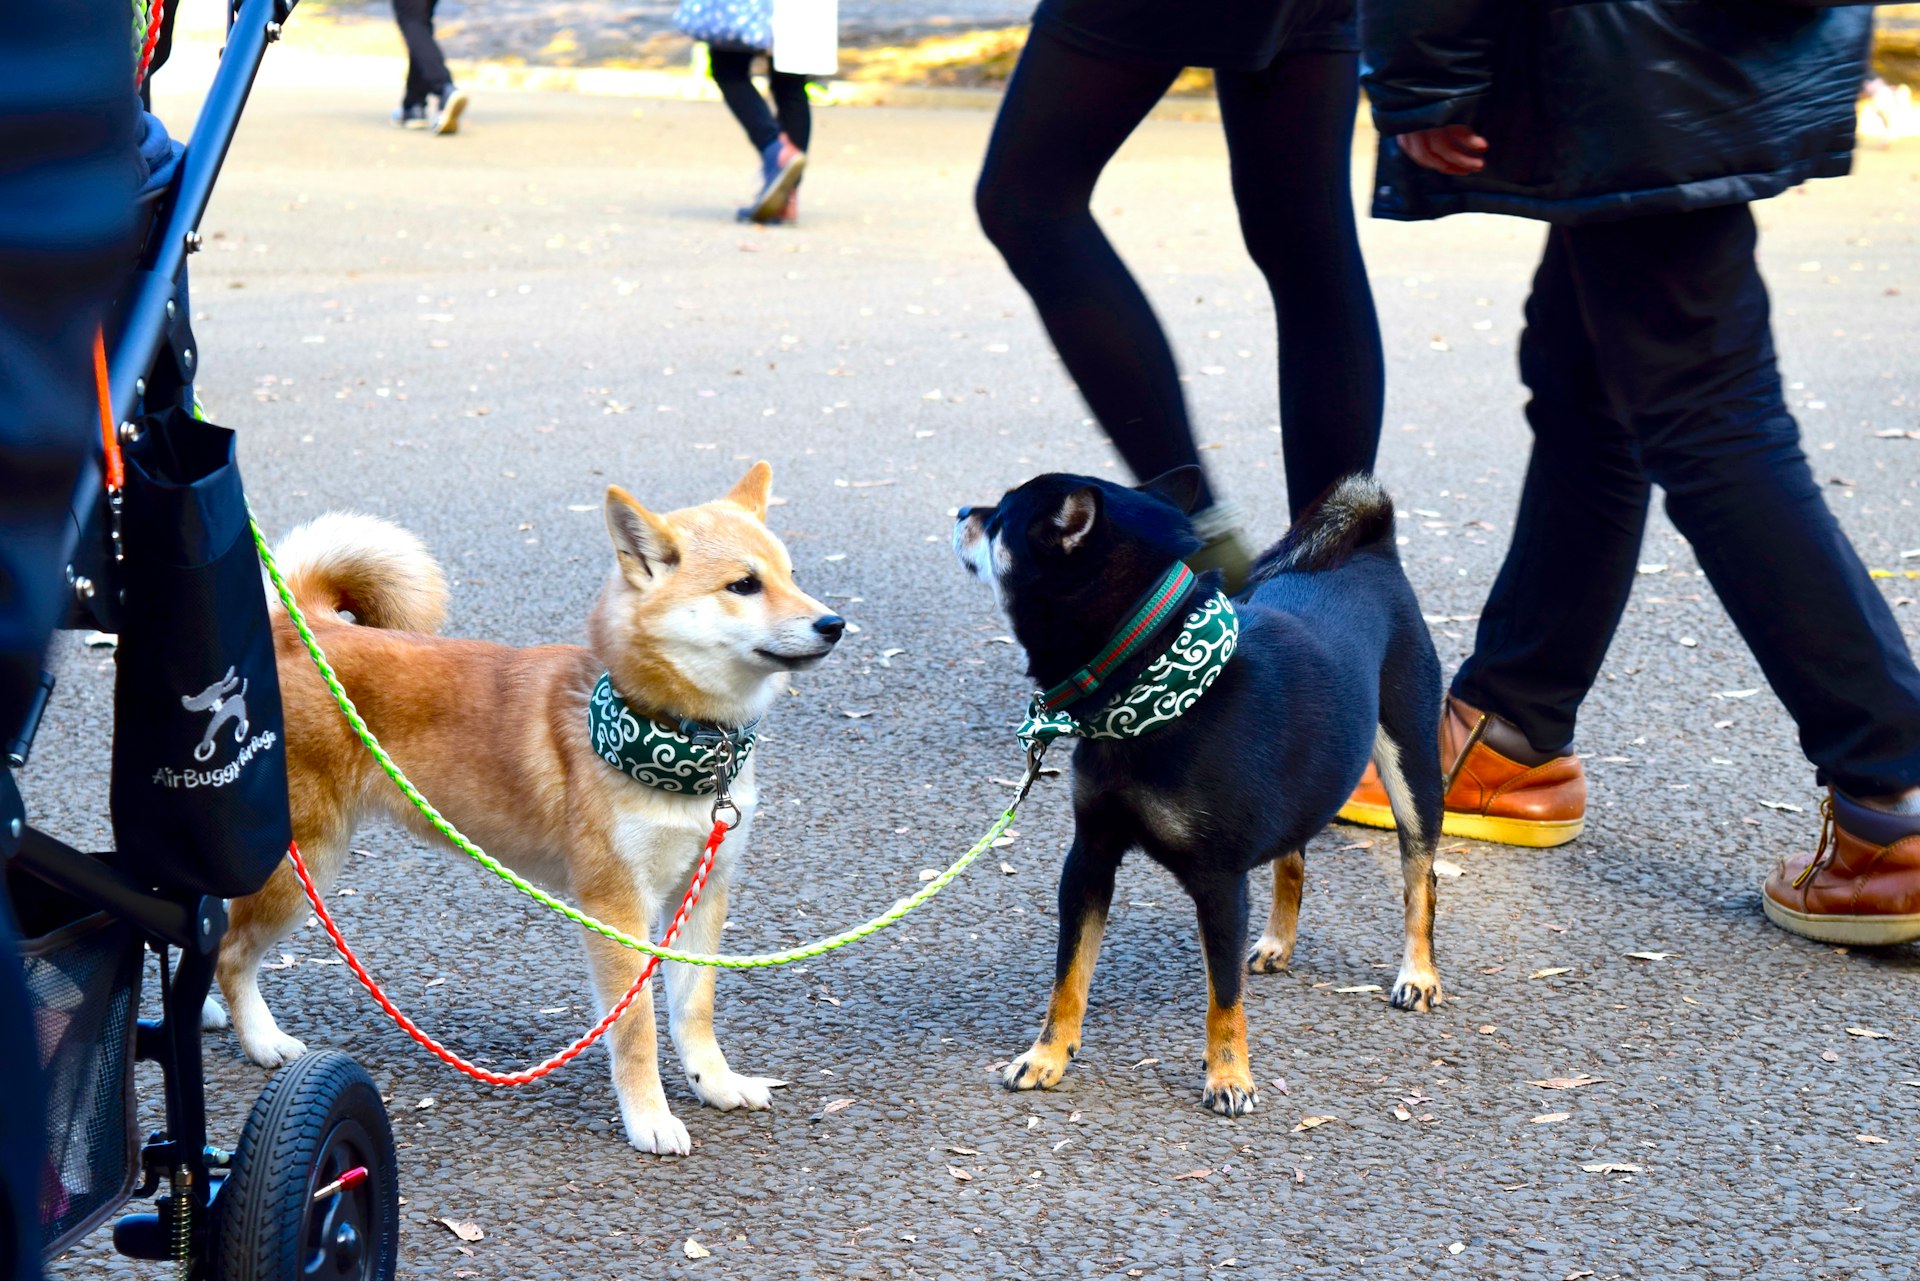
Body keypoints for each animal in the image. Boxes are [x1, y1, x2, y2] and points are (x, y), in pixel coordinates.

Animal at [208, 466, 840, 1160]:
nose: (834, 623)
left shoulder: (702, 892)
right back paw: (261, 1039)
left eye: (791, 575)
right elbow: (636, 1029)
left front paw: (716, 1083)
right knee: (230, 952)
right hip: (302, 867)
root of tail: (305, 629)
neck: (678, 742)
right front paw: (648, 1117)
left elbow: (693, 1010)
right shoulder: (617, 908)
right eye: (744, 585)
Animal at [952, 468, 1443, 1113]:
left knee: (1419, 879)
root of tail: (1374, 548)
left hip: (1413, 770)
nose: (963, 511)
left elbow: (1223, 994)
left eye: (1002, 517)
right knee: (1293, 858)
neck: (1154, 684)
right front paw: (1048, 1054)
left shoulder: (1219, 883)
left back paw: (1419, 974)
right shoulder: (1088, 860)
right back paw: (1278, 942)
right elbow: (1068, 975)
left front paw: (1229, 1075)